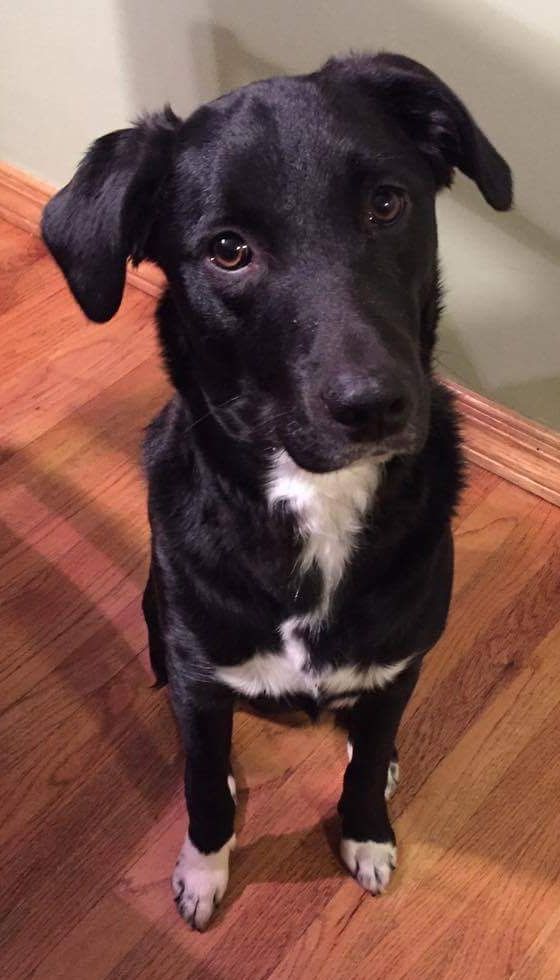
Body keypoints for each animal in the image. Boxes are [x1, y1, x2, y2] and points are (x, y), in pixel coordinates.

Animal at [42, 51, 512, 928]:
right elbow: (202, 787)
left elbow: (364, 762)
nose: (375, 406)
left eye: (386, 203)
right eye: (228, 250)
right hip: (160, 620)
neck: (317, 497)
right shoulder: (198, 669)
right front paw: (203, 869)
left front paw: (367, 832)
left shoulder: (401, 662)